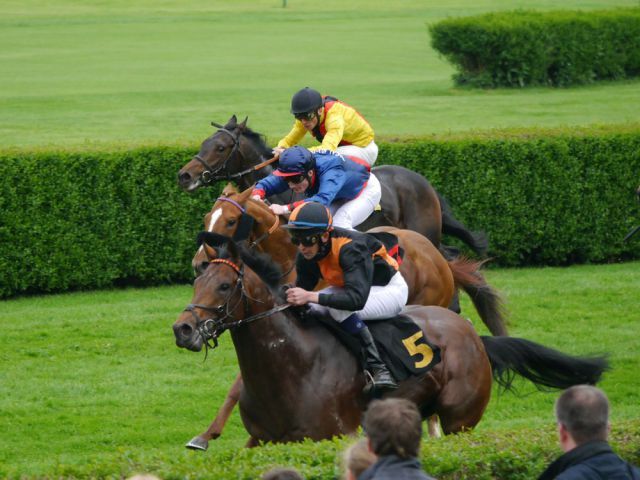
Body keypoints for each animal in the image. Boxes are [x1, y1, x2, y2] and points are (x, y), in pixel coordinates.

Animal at [172, 242, 608, 448]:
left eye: (224, 286)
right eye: (196, 280)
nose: (183, 329)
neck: (292, 365)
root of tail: (473, 335)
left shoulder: (334, 436)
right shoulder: (262, 441)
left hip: (462, 421)